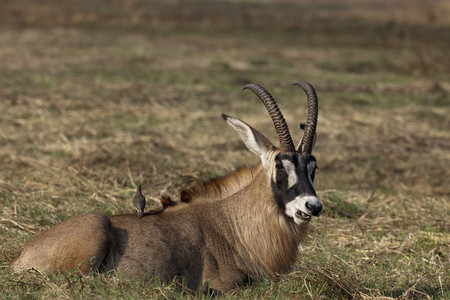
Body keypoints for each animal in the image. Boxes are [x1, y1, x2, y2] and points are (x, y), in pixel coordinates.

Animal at [12, 83, 322, 294]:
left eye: (313, 167)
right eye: (280, 165)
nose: (312, 205)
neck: (233, 222)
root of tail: (21, 257)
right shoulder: (226, 286)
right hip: (95, 229)